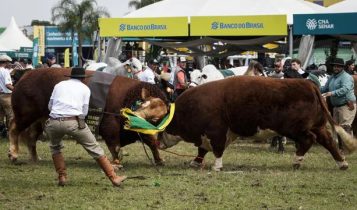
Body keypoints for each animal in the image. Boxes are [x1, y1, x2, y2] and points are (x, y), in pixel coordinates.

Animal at [157, 76, 356, 171]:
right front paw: (195, 162)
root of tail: (308, 84)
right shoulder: (208, 135)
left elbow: (216, 150)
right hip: (318, 126)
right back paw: (342, 164)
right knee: (328, 141)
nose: (157, 142)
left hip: (295, 129)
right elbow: (202, 150)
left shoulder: (216, 132)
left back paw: (296, 161)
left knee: (309, 140)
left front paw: (217, 166)